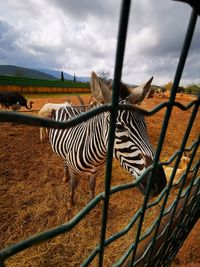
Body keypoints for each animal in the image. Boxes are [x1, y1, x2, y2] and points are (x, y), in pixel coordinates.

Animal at [49, 71, 166, 207]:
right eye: (119, 127)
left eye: (145, 125)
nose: (160, 183)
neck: (96, 155)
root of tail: (66, 106)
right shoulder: (74, 170)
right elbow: (73, 184)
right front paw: (70, 201)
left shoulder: (96, 171)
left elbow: (92, 185)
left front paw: (91, 201)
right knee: (65, 162)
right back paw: (65, 176)